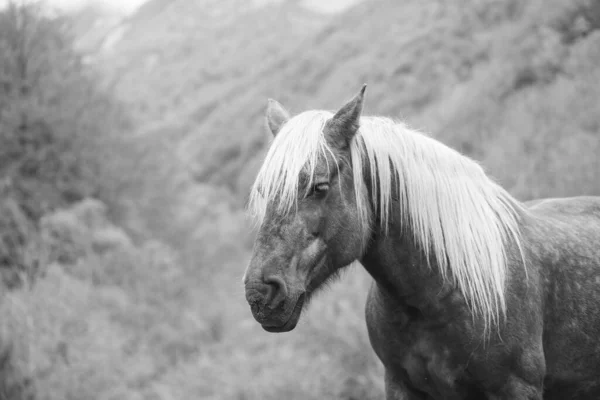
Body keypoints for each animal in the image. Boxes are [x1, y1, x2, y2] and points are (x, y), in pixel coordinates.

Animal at [241, 86, 600, 398]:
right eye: (263, 193)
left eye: (319, 186)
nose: (260, 294)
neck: (439, 294)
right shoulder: (401, 385)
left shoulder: (516, 387)